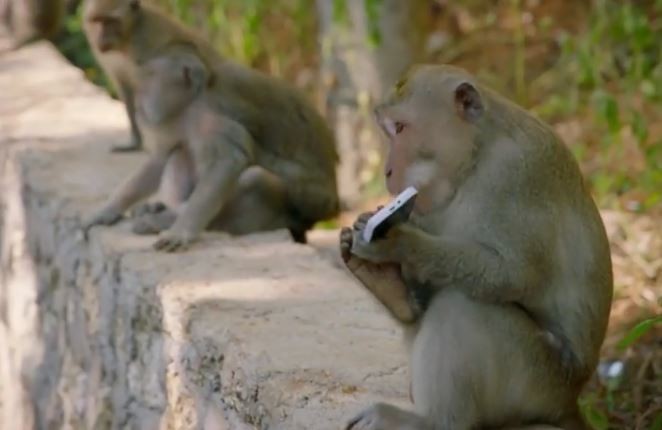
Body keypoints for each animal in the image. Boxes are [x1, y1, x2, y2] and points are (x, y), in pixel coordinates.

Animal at [81, 0, 219, 153]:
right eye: (97, 21)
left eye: (111, 21)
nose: (101, 37)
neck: (126, 39)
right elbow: (124, 87)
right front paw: (135, 142)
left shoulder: (142, 45)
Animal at [83, 43, 340, 250]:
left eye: (151, 77)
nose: (139, 97)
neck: (194, 99)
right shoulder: (177, 118)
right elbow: (161, 157)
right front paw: (107, 210)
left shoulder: (211, 116)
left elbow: (229, 161)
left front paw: (181, 231)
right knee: (181, 152)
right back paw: (162, 208)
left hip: (307, 204)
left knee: (257, 177)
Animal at [342, 63, 616, 430]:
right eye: (390, 131)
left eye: (400, 128)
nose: (387, 171)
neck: (476, 158)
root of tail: (569, 403)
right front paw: (386, 274)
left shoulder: (516, 174)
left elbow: (513, 274)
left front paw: (400, 244)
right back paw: (390, 292)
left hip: (539, 381)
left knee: (463, 305)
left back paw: (434, 422)